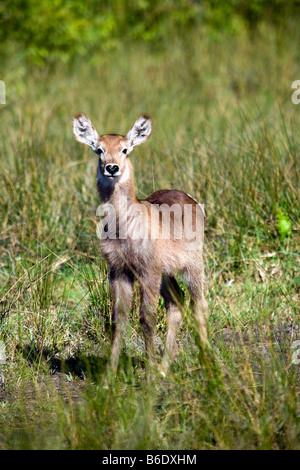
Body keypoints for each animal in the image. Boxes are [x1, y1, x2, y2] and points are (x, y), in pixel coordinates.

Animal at [73, 113, 209, 374]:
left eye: (125, 149)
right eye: (99, 149)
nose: (112, 168)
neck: (123, 228)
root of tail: (193, 199)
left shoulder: (148, 270)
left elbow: (147, 319)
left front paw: (149, 374)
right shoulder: (118, 270)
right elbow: (118, 320)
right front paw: (109, 375)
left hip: (193, 264)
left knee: (199, 304)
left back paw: (209, 360)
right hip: (167, 271)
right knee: (177, 303)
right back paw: (166, 366)